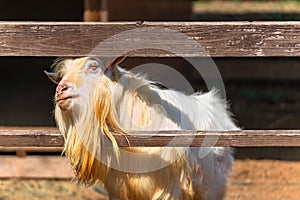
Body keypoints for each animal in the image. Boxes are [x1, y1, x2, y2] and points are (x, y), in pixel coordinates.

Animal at [44, 56, 238, 200]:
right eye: (62, 75)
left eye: (93, 67)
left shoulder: (168, 187)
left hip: (211, 186)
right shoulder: (118, 188)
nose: (61, 89)